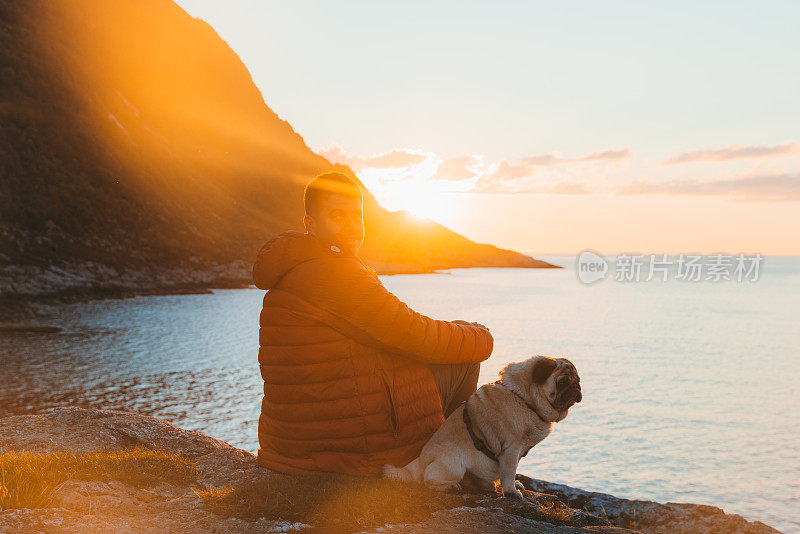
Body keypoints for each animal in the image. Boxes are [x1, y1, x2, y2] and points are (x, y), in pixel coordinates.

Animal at [382, 356, 580, 502]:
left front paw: (514, 484)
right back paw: (450, 486)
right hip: (453, 465)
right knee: (427, 481)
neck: (524, 398)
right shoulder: (511, 449)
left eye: (577, 380)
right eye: (562, 382)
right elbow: (509, 472)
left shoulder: (515, 452)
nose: (577, 388)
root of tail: (419, 462)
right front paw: (511, 491)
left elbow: (510, 471)